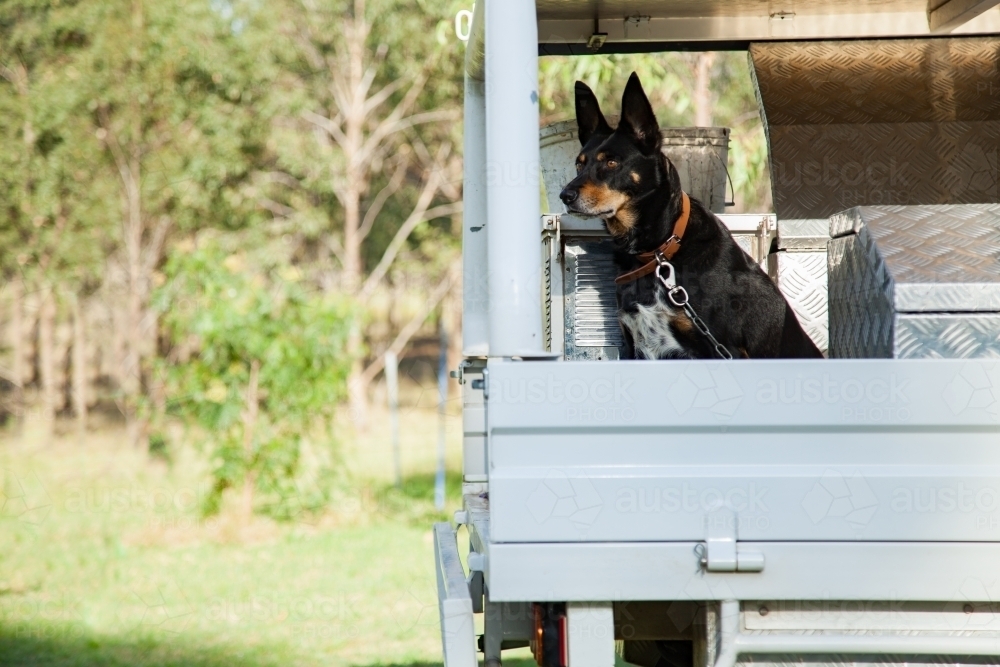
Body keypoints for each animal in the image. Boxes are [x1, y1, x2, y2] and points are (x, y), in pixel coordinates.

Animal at [556, 73, 820, 360]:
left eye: (611, 162)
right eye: (579, 164)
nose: (565, 195)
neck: (659, 251)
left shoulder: (723, 348)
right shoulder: (634, 345)